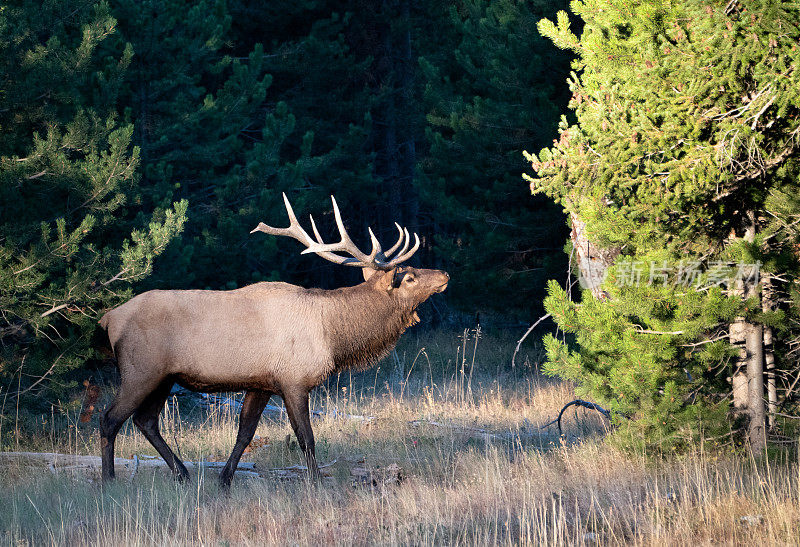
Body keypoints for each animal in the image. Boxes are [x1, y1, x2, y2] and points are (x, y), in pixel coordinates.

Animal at [97, 196, 446, 488]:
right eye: (409, 276)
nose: (444, 274)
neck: (334, 334)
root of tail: (109, 318)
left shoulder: (261, 383)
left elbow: (245, 433)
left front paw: (224, 479)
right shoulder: (294, 380)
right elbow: (306, 437)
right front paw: (316, 483)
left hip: (165, 378)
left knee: (145, 420)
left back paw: (182, 473)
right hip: (140, 370)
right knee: (110, 418)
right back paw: (108, 479)